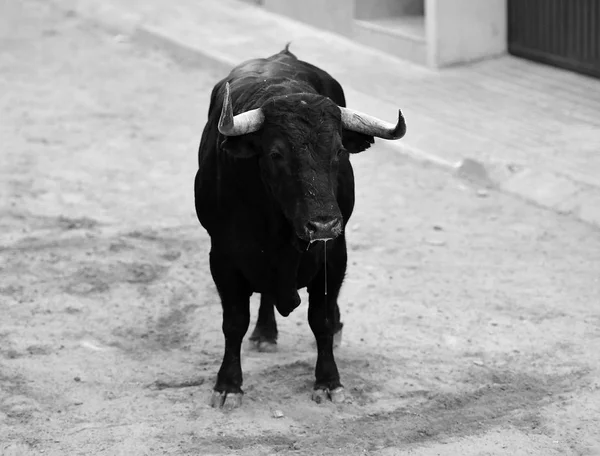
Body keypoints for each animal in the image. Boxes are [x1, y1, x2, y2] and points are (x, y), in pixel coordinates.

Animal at [195, 46, 406, 410]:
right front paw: (228, 385)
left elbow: (321, 319)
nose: (323, 223)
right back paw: (265, 332)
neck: (280, 231)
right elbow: (234, 322)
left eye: (339, 150)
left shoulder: (334, 254)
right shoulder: (222, 257)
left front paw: (329, 381)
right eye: (276, 153)